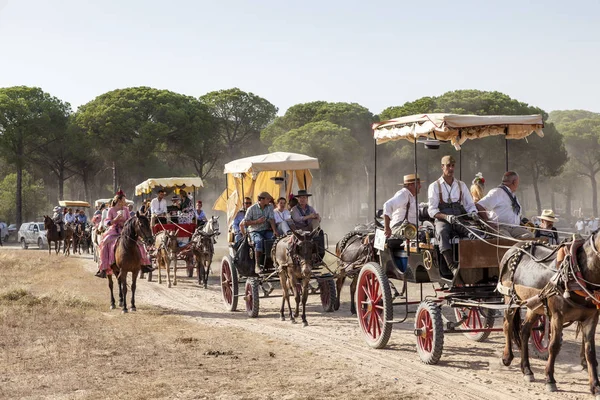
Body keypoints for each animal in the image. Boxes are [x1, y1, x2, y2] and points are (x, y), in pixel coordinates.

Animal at [500, 233, 600, 396]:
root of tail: (513, 247)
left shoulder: (591, 318)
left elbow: (590, 351)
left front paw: (595, 385)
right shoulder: (557, 316)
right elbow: (554, 346)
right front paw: (550, 379)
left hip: (534, 305)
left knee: (524, 330)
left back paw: (527, 370)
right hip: (511, 298)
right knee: (507, 325)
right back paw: (507, 357)